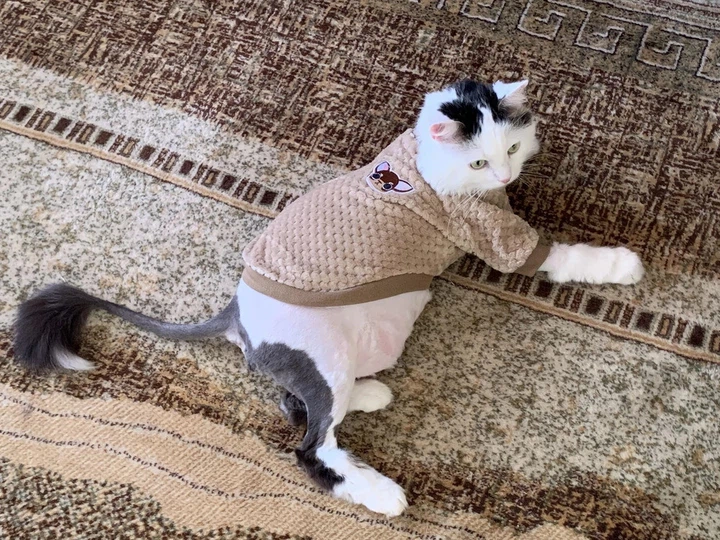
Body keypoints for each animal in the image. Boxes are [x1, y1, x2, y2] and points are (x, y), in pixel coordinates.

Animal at [13, 79, 644, 518]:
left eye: (512, 146)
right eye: (479, 159)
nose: (506, 176)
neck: (420, 159)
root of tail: (237, 316)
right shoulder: (490, 232)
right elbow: (563, 256)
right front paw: (622, 264)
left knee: (299, 406)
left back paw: (370, 395)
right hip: (323, 352)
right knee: (312, 446)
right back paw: (382, 493)